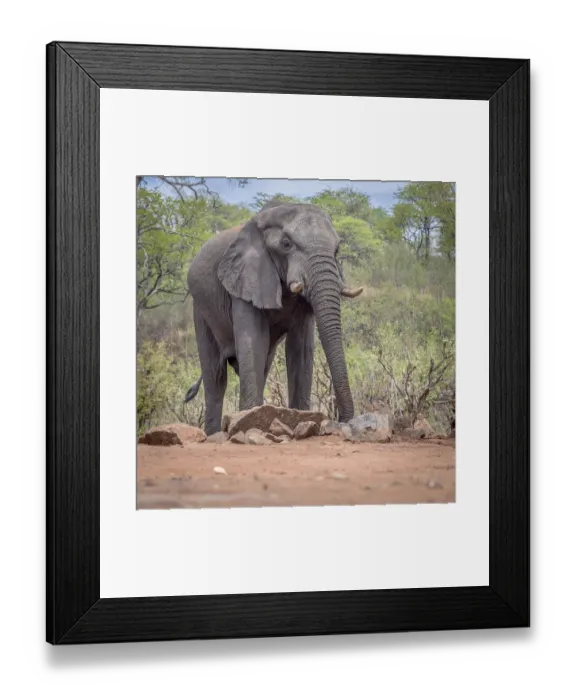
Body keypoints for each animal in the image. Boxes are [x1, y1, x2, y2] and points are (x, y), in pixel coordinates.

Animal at [184, 200, 363, 435]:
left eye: (338, 249)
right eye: (286, 244)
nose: (343, 420)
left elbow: (300, 348)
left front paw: (301, 418)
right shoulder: (244, 279)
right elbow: (254, 342)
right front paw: (248, 424)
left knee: (261, 367)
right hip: (200, 309)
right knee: (216, 377)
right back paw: (214, 433)